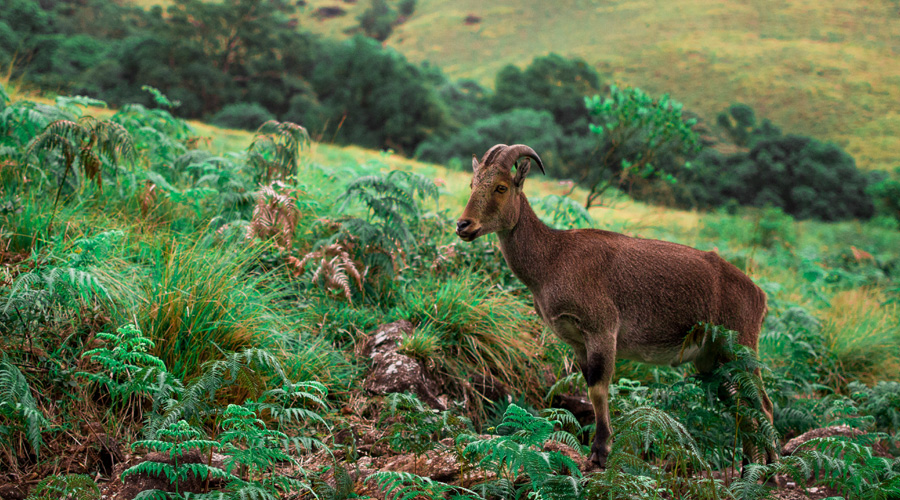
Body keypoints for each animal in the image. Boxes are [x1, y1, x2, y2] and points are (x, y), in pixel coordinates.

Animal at [458, 145, 772, 468]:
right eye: (472, 184)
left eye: (501, 187)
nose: (463, 225)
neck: (552, 259)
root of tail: (759, 296)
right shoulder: (577, 341)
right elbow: (589, 386)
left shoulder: (602, 329)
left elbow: (598, 388)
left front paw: (599, 452)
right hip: (711, 360)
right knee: (743, 406)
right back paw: (751, 467)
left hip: (740, 347)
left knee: (763, 405)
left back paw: (769, 469)